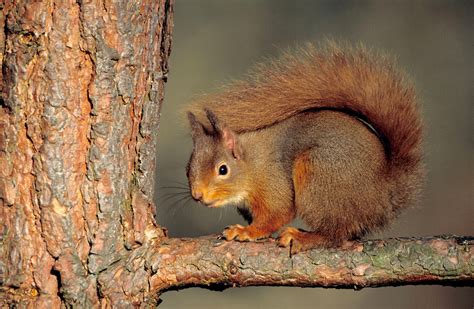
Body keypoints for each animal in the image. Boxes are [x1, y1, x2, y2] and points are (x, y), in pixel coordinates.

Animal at [184, 42, 422, 253]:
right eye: (187, 169)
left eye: (223, 169)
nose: (197, 195)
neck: (252, 164)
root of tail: (385, 191)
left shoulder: (272, 182)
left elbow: (277, 214)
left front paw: (247, 231)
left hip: (319, 176)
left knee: (334, 234)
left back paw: (302, 237)